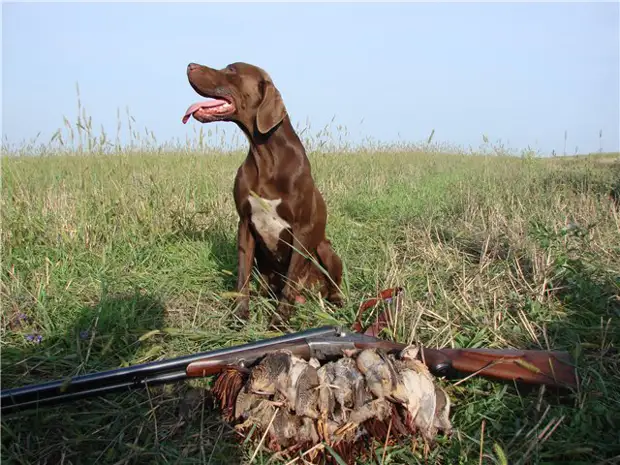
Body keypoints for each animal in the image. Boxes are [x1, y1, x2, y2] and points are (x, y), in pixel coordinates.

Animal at [182, 61, 344, 324]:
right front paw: (239, 315)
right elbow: (242, 276)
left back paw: (336, 301)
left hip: (325, 249)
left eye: (231, 70)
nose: (190, 65)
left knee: (330, 282)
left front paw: (278, 322)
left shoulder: (302, 229)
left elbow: (291, 280)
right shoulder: (245, 225)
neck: (267, 156)